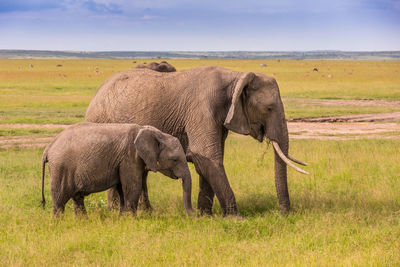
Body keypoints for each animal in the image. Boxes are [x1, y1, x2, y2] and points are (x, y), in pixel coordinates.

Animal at [40, 122, 192, 217]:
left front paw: (122, 218)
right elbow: (132, 187)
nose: (194, 217)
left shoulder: (125, 161)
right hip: (61, 168)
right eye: (175, 160)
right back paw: (58, 223)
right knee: (60, 199)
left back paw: (82, 221)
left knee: (77, 198)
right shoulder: (130, 157)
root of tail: (48, 147)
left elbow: (122, 188)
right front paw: (130, 220)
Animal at [86, 66, 308, 217]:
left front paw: (205, 216)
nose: (281, 214)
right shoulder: (202, 109)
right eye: (269, 108)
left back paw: (142, 212)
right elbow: (208, 157)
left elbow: (208, 161)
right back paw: (118, 211)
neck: (235, 78)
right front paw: (236, 218)